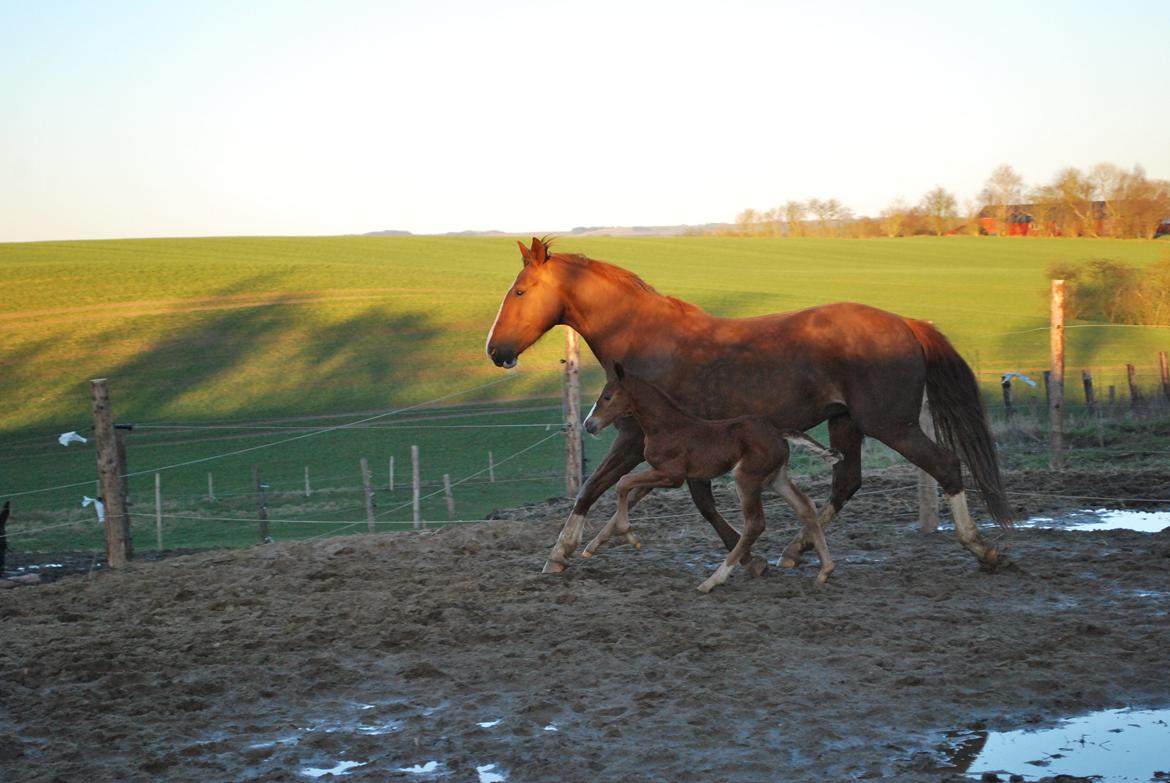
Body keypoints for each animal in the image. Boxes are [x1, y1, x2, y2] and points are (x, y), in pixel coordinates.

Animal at [580, 362, 837, 589]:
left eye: (607, 397)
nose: (589, 425)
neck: (666, 427)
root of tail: (778, 432)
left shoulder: (673, 475)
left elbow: (623, 483)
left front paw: (629, 535)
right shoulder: (663, 474)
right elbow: (629, 489)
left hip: (746, 478)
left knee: (755, 524)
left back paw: (713, 581)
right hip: (776, 478)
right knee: (805, 506)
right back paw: (825, 571)